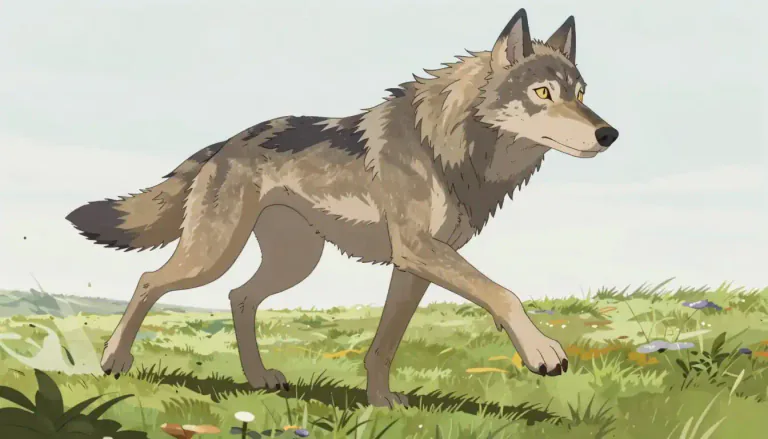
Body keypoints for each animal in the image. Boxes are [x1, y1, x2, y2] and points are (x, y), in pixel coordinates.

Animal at [66, 8, 618, 408]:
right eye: (542, 93)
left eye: (581, 94)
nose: (608, 134)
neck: (449, 147)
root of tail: (226, 142)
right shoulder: (419, 250)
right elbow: (503, 293)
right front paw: (542, 351)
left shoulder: (413, 265)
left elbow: (384, 346)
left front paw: (381, 403)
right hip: (214, 255)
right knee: (149, 281)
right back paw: (114, 359)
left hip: (294, 263)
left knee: (239, 297)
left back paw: (258, 377)